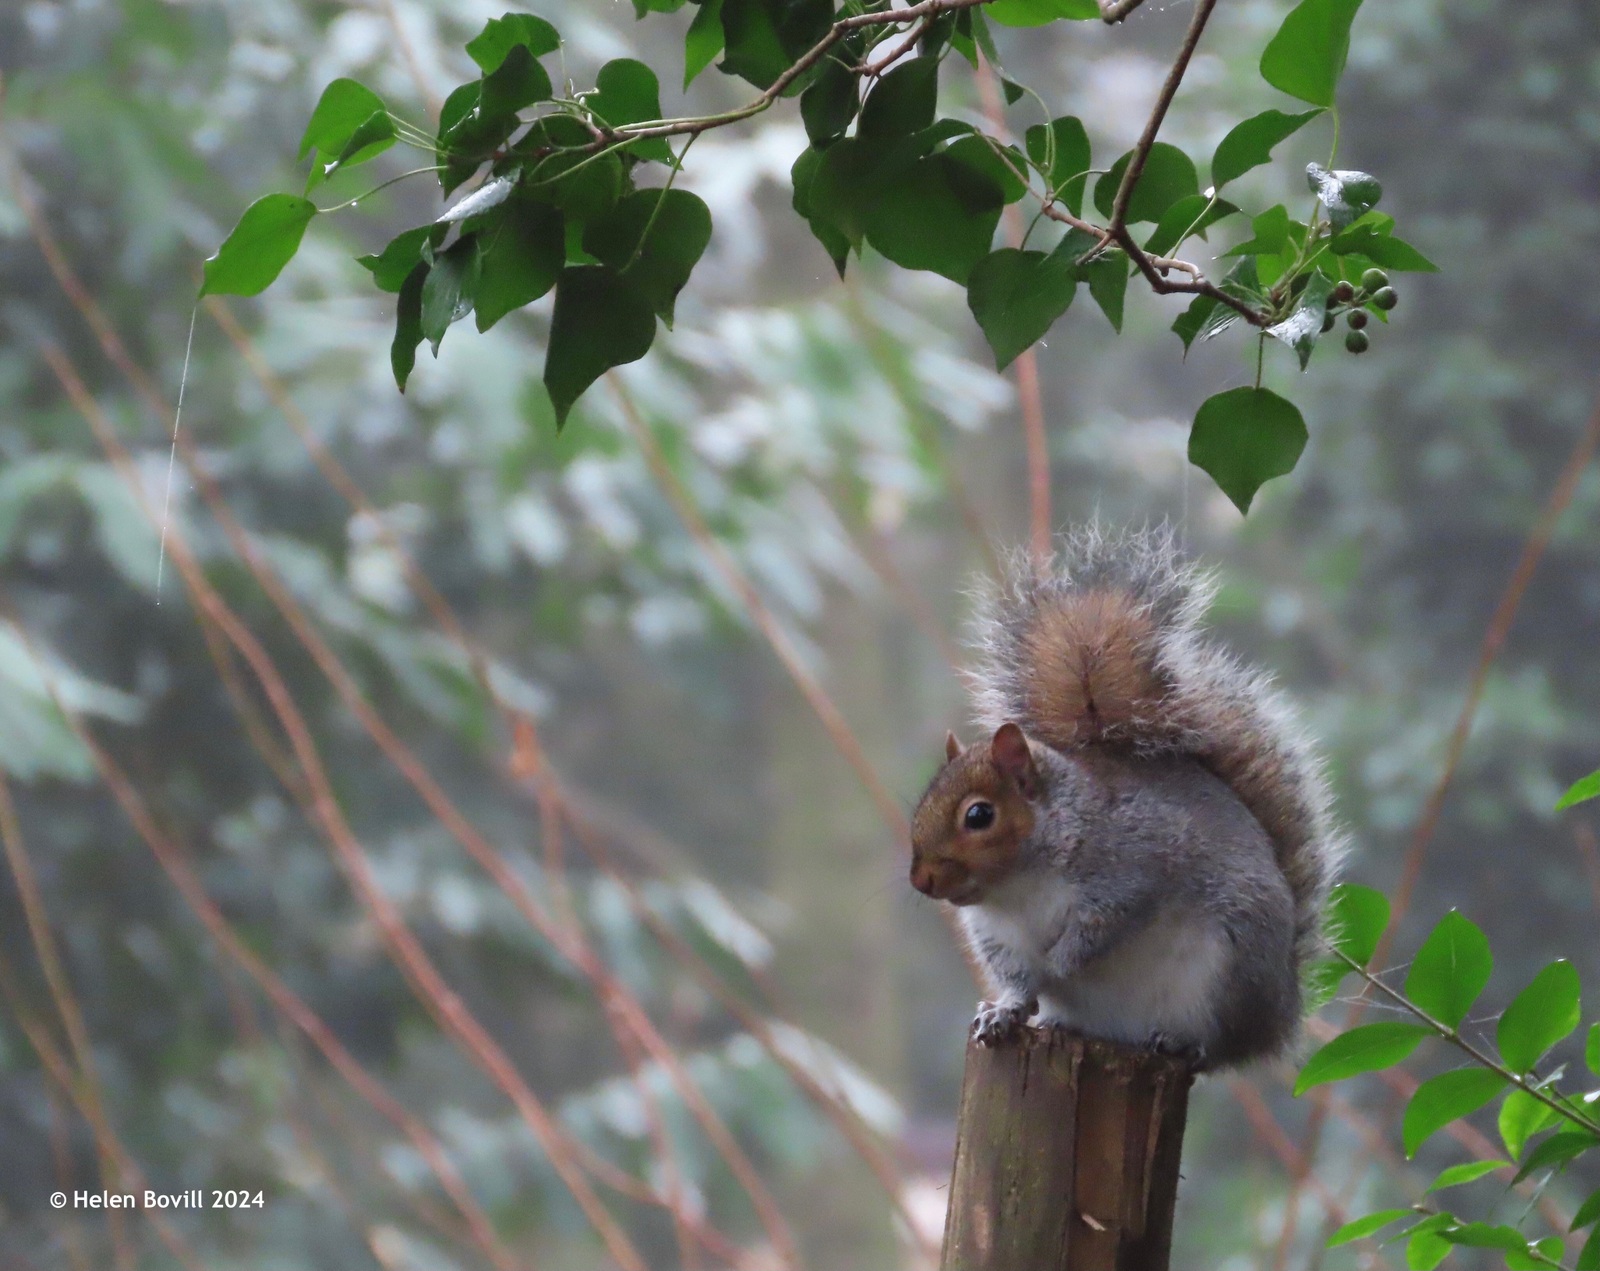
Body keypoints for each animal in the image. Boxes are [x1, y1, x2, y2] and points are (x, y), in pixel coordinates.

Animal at [908, 518, 1344, 1062]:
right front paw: (1004, 1010)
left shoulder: (1132, 871)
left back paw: (1181, 1042)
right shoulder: (997, 938)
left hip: (1228, 973)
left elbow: (1101, 929)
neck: (1019, 887)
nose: (921, 880)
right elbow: (1016, 981)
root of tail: (1280, 1014)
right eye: (920, 806)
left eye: (979, 816)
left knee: (1217, 1047)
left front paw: (1058, 965)